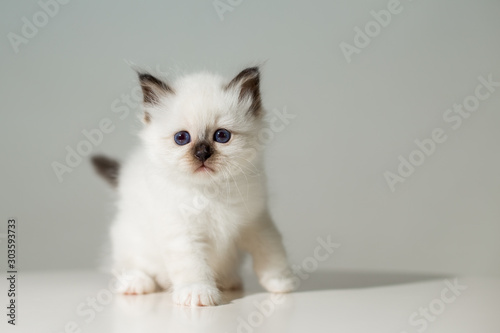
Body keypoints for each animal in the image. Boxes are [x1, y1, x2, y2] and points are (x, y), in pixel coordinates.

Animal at [92, 66, 294, 304]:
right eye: (182, 138)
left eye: (222, 136)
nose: (202, 154)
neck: (210, 192)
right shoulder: (181, 231)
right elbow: (192, 266)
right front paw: (198, 294)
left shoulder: (257, 221)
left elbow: (271, 252)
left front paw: (281, 283)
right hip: (127, 236)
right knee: (128, 266)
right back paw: (136, 284)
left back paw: (227, 282)